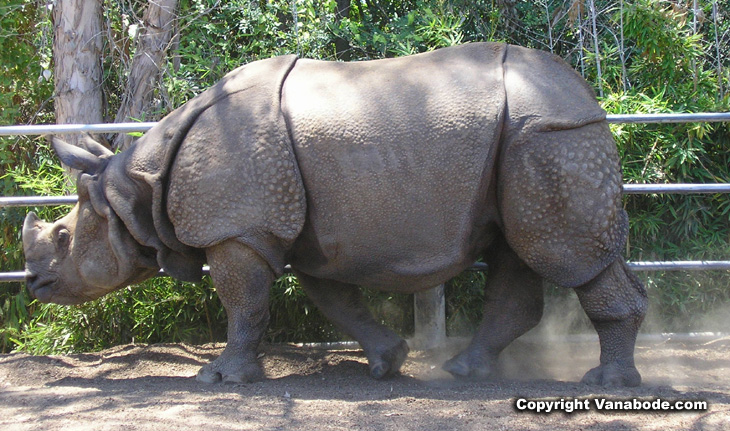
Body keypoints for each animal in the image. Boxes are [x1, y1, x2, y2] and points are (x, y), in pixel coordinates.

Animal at [23, 42, 647, 386]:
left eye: (63, 235)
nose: (32, 284)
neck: (135, 186)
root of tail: (588, 96)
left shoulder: (240, 228)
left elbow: (242, 301)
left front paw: (220, 379)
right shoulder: (298, 231)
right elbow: (333, 299)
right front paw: (387, 362)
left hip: (550, 136)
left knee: (563, 253)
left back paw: (607, 385)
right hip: (525, 138)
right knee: (515, 249)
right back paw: (465, 371)